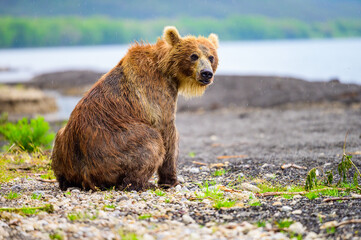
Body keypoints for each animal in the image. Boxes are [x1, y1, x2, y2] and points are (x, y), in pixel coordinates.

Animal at [51, 26, 218, 191]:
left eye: (211, 57)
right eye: (194, 55)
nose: (206, 73)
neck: (167, 70)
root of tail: (83, 176)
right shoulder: (156, 94)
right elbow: (167, 132)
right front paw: (171, 180)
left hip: (65, 147)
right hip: (113, 146)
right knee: (150, 142)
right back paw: (142, 183)